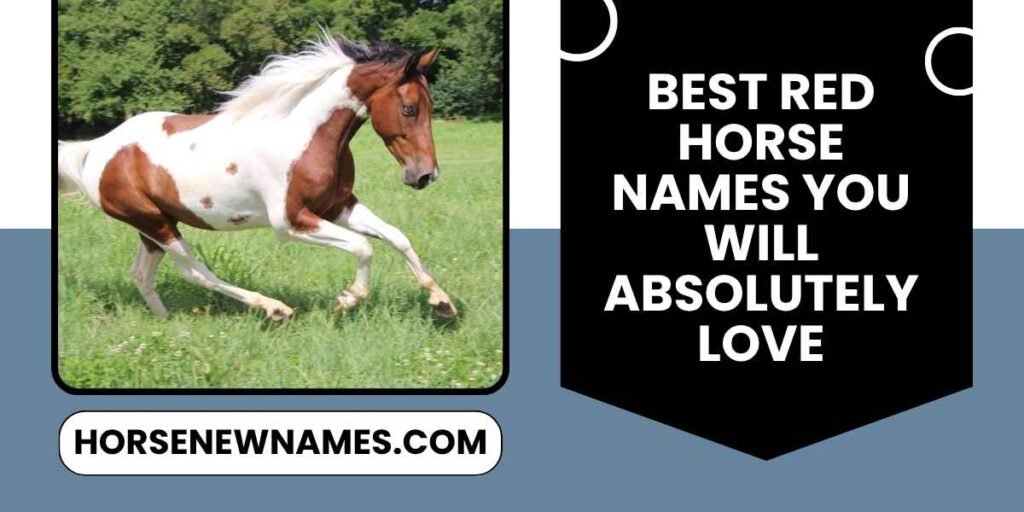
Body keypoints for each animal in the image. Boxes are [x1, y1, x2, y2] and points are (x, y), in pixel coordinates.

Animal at [57, 34, 457, 321]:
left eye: (431, 106)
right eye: (409, 108)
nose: (425, 175)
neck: (303, 135)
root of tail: (97, 148)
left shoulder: (338, 206)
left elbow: (397, 237)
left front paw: (442, 302)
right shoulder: (292, 222)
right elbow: (364, 247)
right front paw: (347, 300)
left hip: (154, 225)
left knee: (141, 274)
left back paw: (165, 321)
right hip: (154, 222)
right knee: (196, 272)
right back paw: (274, 309)